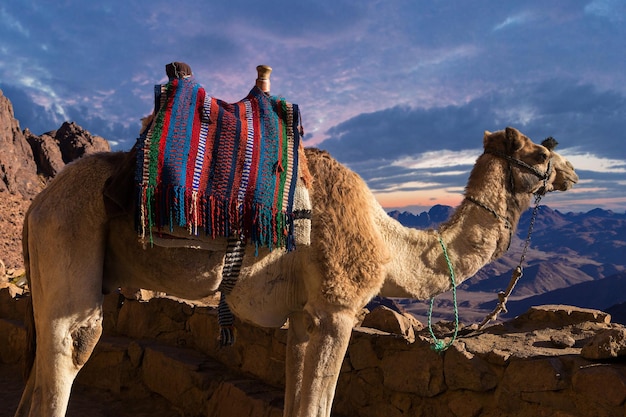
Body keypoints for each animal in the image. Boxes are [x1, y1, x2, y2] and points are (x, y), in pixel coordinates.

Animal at [14, 127, 576, 416]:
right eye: (539, 153)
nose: (572, 173)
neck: (387, 244)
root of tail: (37, 203)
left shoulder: (305, 316)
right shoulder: (338, 310)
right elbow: (317, 404)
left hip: (49, 262)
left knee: (40, 359)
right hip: (70, 239)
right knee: (72, 345)